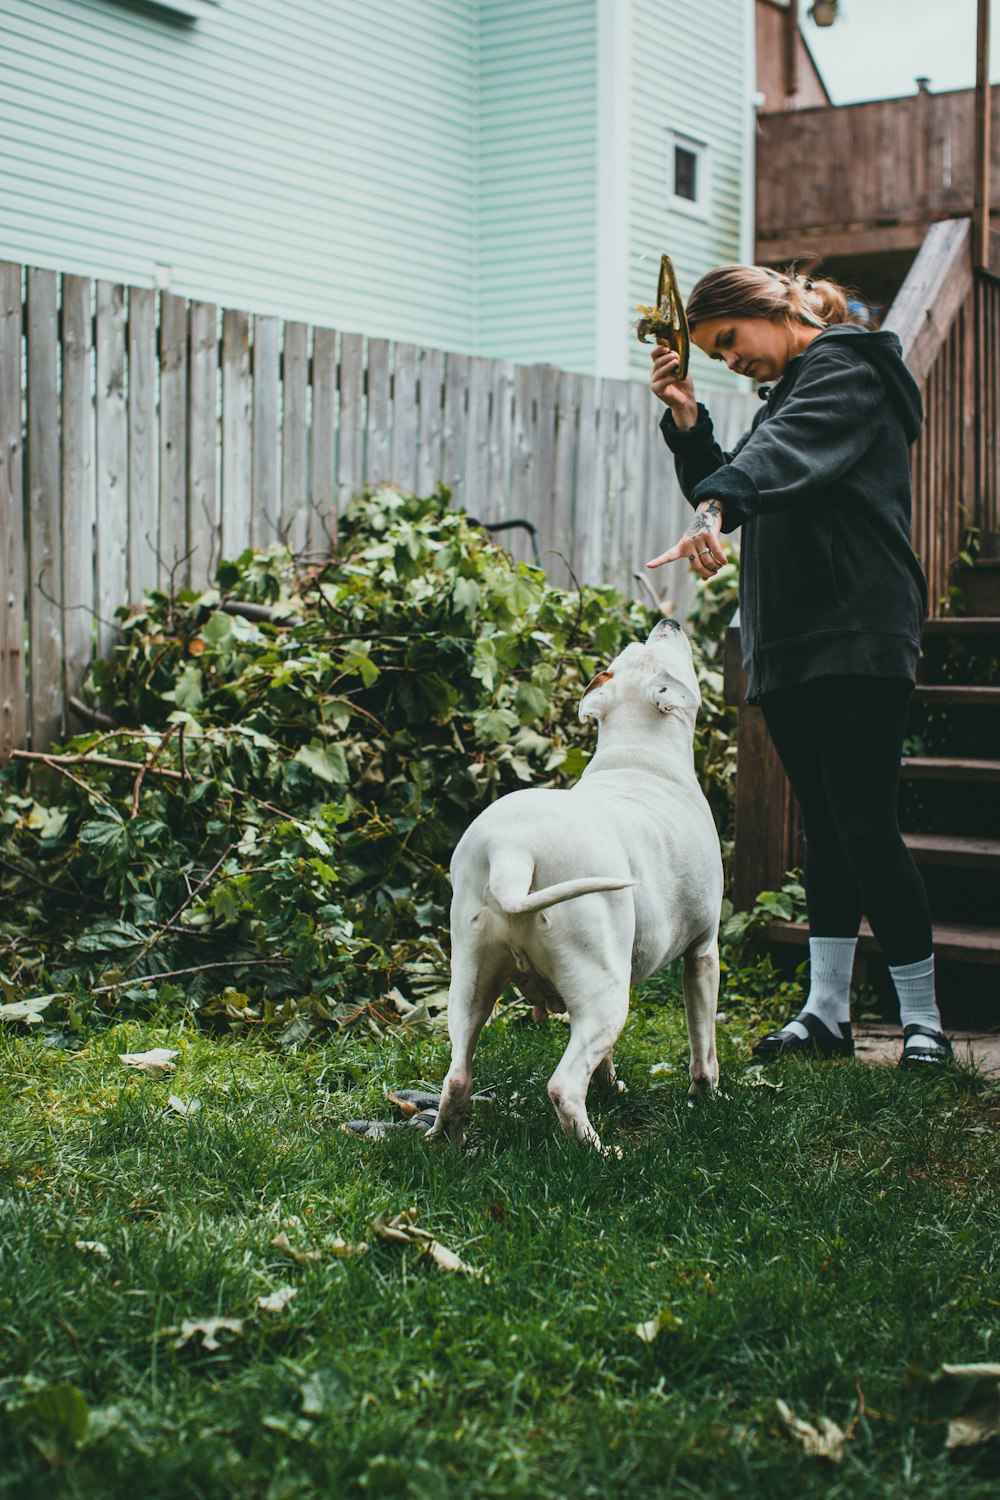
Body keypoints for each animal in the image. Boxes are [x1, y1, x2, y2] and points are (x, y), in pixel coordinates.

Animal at [425, 615, 722, 1152]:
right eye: (662, 650)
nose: (667, 621)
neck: (636, 753)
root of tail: (511, 849)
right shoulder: (702, 954)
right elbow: (702, 1041)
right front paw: (707, 1095)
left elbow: (604, 1060)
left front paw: (609, 1084)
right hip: (605, 992)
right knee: (563, 1086)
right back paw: (600, 1151)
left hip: (471, 983)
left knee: (458, 1073)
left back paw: (449, 1140)